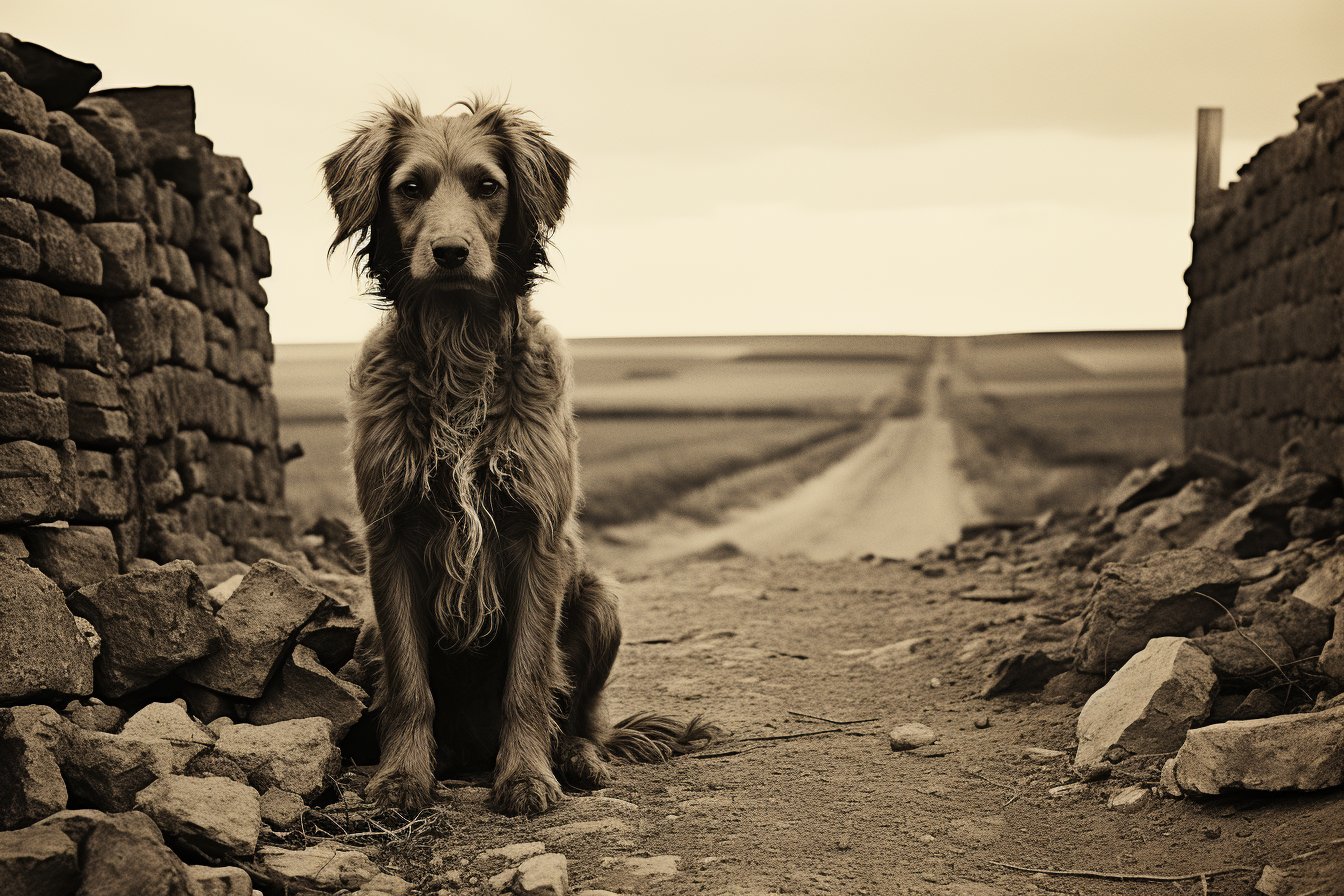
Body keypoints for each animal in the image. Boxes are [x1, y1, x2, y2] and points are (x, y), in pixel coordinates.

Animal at [321, 94, 715, 816]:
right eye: (410, 188)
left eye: (487, 185)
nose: (450, 252)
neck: (458, 348)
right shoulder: (389, 539)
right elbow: (410, 684)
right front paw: (402, 777)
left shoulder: (537, 536)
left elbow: (530, 678)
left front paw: (527, 775)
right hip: (364, 629)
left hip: (600, 602)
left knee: (583, 716)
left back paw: (579, 757)